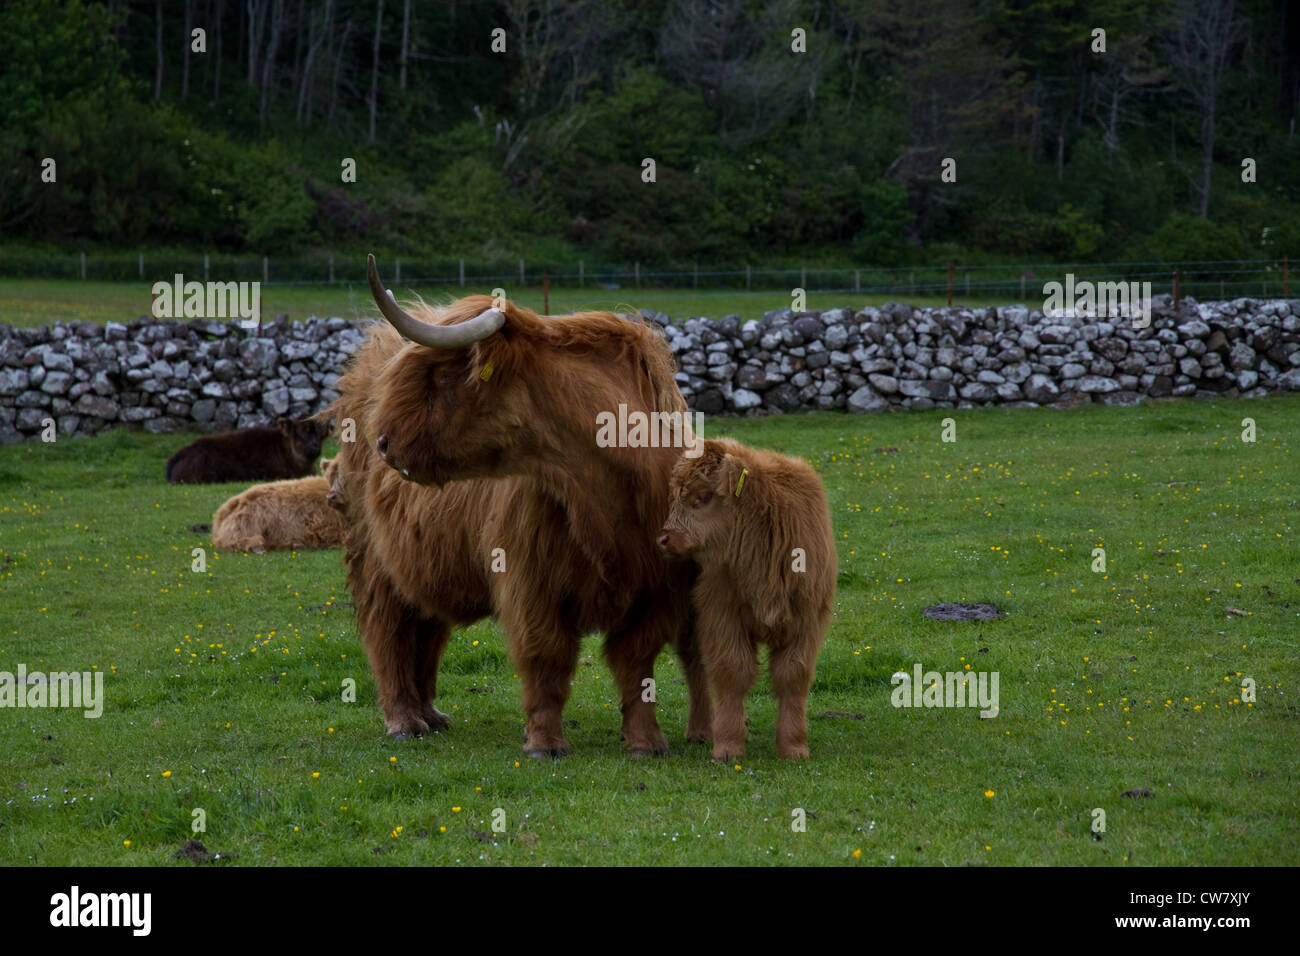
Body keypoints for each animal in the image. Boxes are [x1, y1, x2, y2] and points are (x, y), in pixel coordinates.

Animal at [327, 254, 711, 756]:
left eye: (443, 376)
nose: (384, 441)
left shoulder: (657, 584)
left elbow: (636, 661)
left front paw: (645, 741)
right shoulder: (530, 577)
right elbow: (546, 655)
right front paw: (544, 742)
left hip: (429, 556)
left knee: (426, 627)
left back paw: (431, 714)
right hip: (374, 559)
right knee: (387, 631)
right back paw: (404, 721)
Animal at [657, 437, 836, 760]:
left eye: (703, 496)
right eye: (674, 497)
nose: (664, 539)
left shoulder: (807, 620)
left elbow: (792, 676)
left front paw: (794, 746)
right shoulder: (722, 616)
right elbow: (733, 672)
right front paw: (728, 745)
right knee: (697, 667)